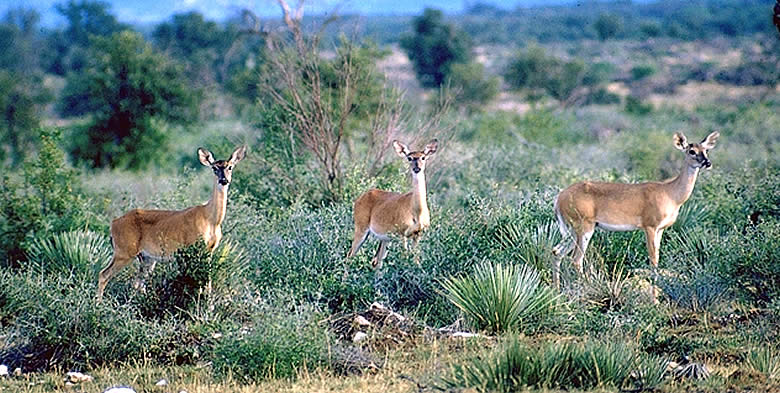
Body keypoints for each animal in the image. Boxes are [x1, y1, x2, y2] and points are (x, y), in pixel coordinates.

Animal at [96, 145, 247, 298]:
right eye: (214, 168)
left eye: (230, 167)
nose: (224, 180)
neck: (210, 219)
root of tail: (113, 224)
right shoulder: (193, 246)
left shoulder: (210, 249)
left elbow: (207, 282)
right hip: (124, 251)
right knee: (104, 274)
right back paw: (98, 303)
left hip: (147, 258)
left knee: (137, 284)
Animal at [348, 139, 438, 270]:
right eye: (409, 158)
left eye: (423, 157)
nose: (417, 168)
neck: (416, 212)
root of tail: (359, 198)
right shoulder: (402, 233)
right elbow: (405, 257)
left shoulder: (418, 234)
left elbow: (416, 260)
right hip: (361, 227)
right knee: (350, 255)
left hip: (384, 238)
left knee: (376, 261)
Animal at [552, 131, 724, 290]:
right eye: (691, 151)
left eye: (706, 150)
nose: (707, 163)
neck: (671, 194)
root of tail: (559, 199)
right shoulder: (650, 225)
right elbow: (653, 260)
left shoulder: (661, 229)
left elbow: (657, 257)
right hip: (584, 225)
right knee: (576, 259)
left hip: (573, 230)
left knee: (557, 251)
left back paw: (557, 289)